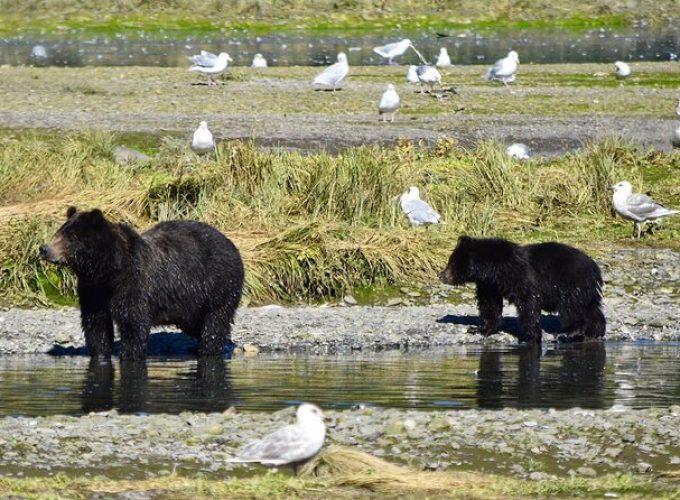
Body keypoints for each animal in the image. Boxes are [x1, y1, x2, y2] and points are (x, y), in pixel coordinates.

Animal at [39, 207, 244, 360]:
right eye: (59, 232)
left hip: (217, 284)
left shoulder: (134, 283)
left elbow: (133, 323)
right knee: (196, 324)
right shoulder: (92, 289)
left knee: (215, 320)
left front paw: (129, 354)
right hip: (190, 303)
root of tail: (231, 244)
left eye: (71, 237)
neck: (107, 271)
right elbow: (96, 324)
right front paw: (100, 354)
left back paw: (208, 349)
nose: (44, 248)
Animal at [440, 236, 604, 342]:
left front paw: (532, 335)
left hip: (571, 284)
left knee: (571, 308)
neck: (493, 270)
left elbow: (528, 303)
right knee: (592, 310)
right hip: (587, 291)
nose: (441, 275)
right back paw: (594, 332)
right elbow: (490, 306)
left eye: (452, 263)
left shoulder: (520, 277)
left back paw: (568, 332)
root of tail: (594, 268)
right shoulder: (489, 286)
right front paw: (479, 329)